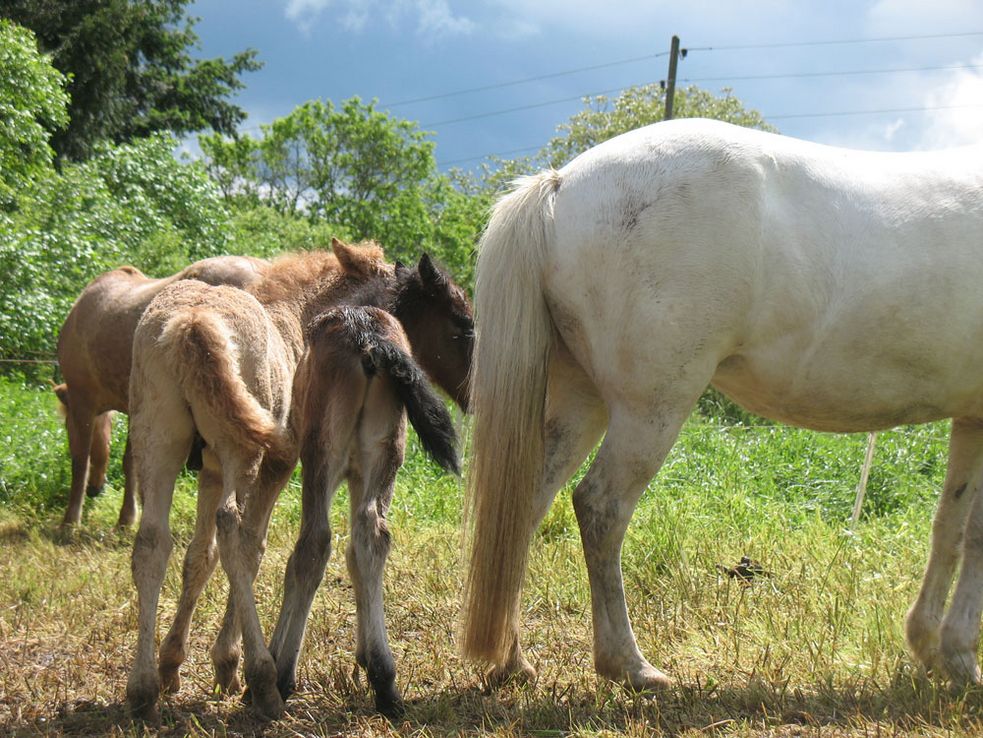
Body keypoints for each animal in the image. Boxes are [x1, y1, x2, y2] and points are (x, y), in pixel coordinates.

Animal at [53, 256, 270, 528]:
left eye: (66, 424)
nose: (95, 489)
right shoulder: (138, 407)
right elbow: (132, 462)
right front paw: (129, 516)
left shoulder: (83, 403)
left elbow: (80, 461)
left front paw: (70, 520)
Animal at [124, 240, 472, 720]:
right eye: (463, 322)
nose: (477, 392)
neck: (301, 317)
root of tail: (192, 323)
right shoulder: (283, 463)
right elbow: (258, 550)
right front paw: (228, 663)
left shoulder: (213, 470)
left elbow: (201, 557)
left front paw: (176, 665)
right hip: (251, 452)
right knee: (253, 534)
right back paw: (267, 679)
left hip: (164, 441)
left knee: (158, 541)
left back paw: (145, 688)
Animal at [466, 119, 983, 688]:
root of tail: (562, 183)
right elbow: (976, 536)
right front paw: (960, 656)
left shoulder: (972, 419)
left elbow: (950, 529)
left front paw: (933, 647)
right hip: (650, 410)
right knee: (601, 507)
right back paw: (629, 664)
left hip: (584, 401)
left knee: (526, 505)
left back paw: (513, 660)